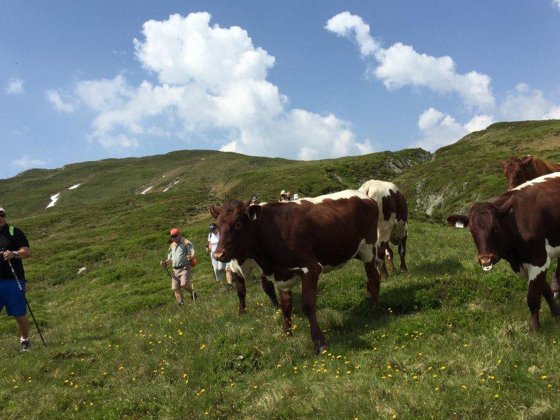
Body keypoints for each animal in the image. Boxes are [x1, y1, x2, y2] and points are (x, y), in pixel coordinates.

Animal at [210, 190, 380, 354]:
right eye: (217, 226)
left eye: (238, 223)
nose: (218, 254)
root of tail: (364, 196)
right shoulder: (281, 277)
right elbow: (285, 307)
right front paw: (286, 334)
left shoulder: (310, 268)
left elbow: (308, 305)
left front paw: (319, 343)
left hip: (369, 249)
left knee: (374, 278)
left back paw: (374, 310)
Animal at [448, 172, 560, 330]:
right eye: (471, 230)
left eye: (496, 227)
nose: (485, 259)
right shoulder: (530, 263)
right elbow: (545, 290)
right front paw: (556, 314)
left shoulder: (538, 259)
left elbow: (533, 297)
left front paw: (535, 329)